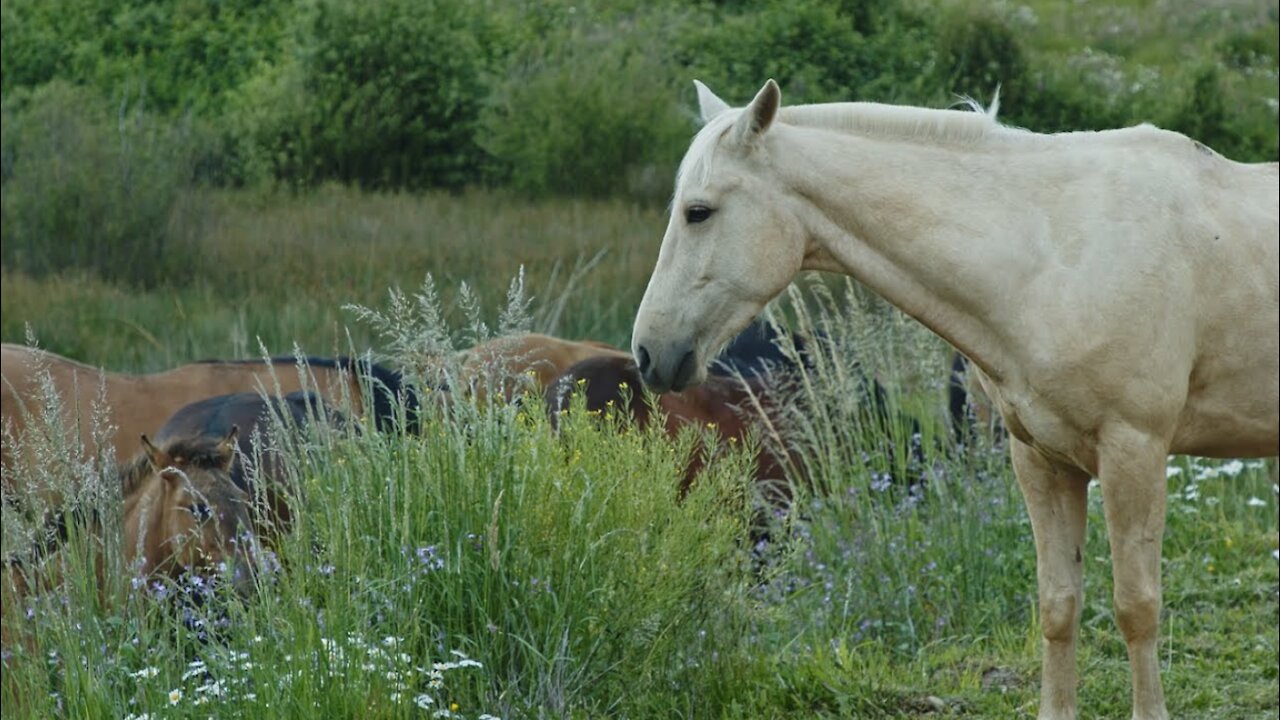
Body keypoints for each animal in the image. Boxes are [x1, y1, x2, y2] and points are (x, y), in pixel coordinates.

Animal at [632, 78, 1280, 717]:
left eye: (698, 212)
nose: (647, 352)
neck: (1054, 254)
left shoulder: (1134, 452)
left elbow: (1136, 608)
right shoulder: (1041, 459)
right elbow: (1058, 605)